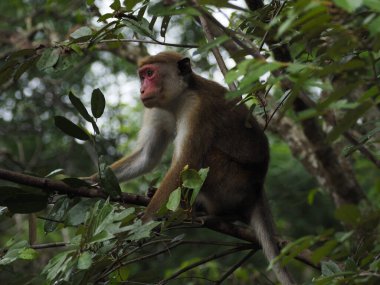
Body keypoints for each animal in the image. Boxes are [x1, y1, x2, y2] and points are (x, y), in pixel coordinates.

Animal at [88, 51, 294, 284]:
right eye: (142, 76)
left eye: (150, 74)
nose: (142, 89)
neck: (177, 100)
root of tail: (258, 189)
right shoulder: (156, 110)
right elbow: (146, 156)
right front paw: (88, 181)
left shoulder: (197, 108)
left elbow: (184, 162)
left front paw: (146, 222)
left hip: (235, 184)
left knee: (207, 157)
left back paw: (222, 215)